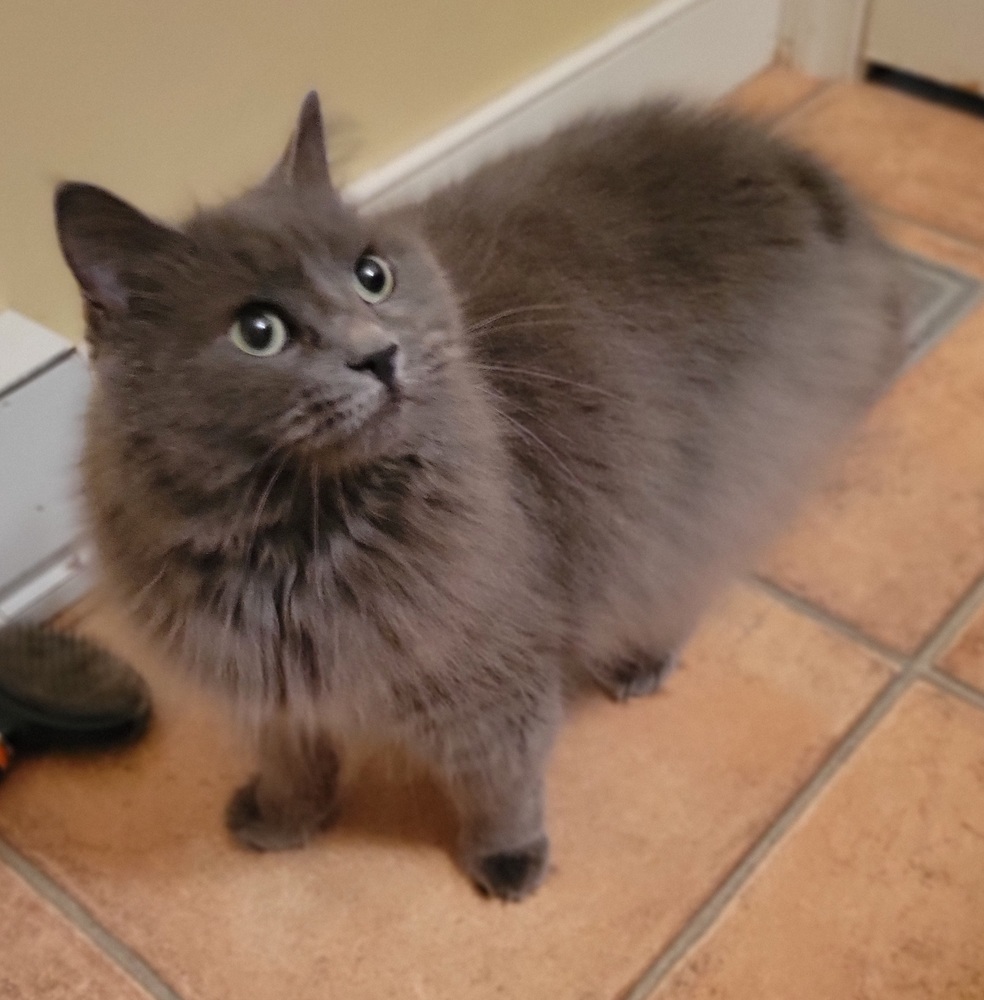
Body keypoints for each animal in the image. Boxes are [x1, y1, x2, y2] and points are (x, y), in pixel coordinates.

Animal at [52, 92, 900, 900]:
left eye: (372, 277)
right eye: (257, 333)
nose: (379, 355)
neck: (303, 538)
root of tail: (781, 155)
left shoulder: (487, 672)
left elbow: (500, 781)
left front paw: (509, 859)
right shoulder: (269, 686)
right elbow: (296, 762)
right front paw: (283, 821)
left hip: (720, 467)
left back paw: (640, 658)